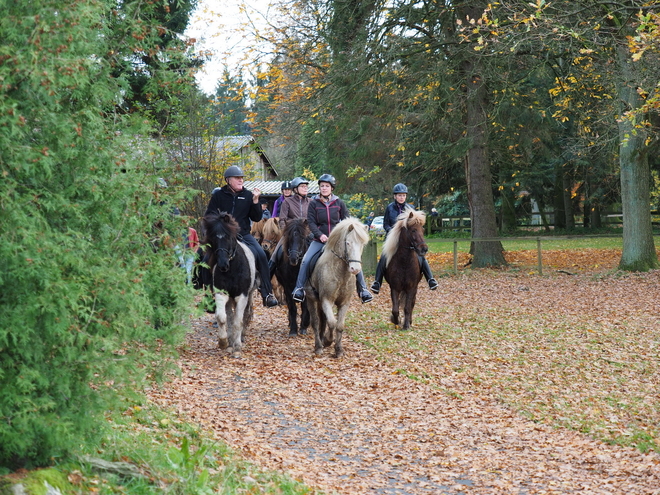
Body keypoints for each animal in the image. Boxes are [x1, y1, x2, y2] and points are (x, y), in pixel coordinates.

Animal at [306, 219, 368, 358]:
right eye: (348, 243)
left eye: (362, 244)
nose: (355, 269)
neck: (340, 273)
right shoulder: (326, 300)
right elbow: (332, 322)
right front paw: (328, 341)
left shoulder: (344, 302)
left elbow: (339, 325)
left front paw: (338, 350)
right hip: (310, 298)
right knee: (315, 322)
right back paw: (318, 346)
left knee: (322, 320)